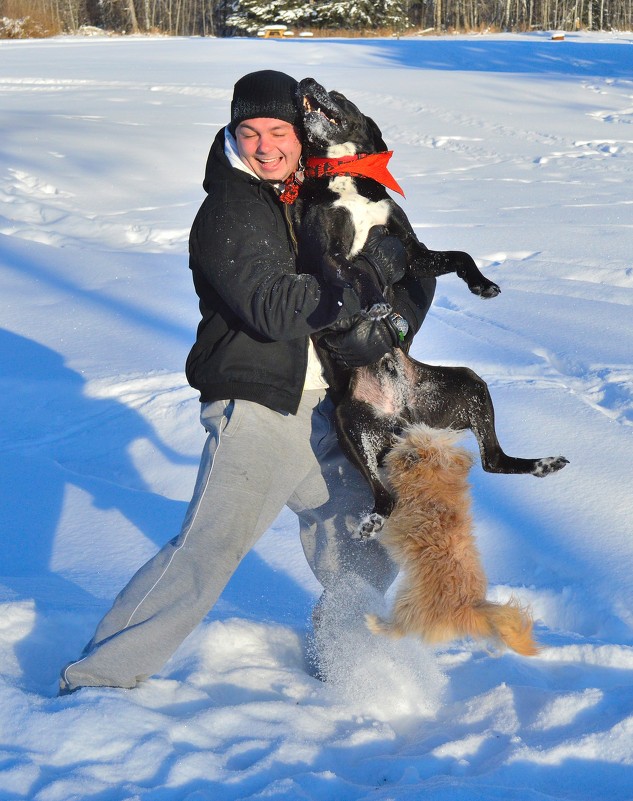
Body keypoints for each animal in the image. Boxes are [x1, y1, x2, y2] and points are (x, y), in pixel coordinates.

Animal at [292, 78, 568, 536]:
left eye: (339, 93)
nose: (307, 81)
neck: (344, 174)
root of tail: (403, 416)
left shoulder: (410, 252)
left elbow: (458, 255)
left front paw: (483, 285)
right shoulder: (328, 258)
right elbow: (361, 271)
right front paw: (377, 305)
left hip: (469, 386)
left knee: (494, 460)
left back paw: (543, 463)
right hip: (350, 424)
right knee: (385, 493)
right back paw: (373, 519)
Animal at [366, 422, 540, 652]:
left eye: (411, 436)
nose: (401, 428)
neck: (434, 482)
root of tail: (469, 608)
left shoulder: (394, 521)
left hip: (409, 603)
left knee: (398, 629)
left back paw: (374, 622)